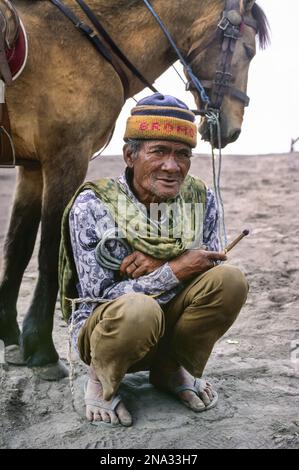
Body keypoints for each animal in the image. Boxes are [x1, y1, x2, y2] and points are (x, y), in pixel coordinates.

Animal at [0, 0, 270, 378]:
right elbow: (48, 250)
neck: (78, 41)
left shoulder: (33, 168)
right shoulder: (66, 157)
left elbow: (18, 248)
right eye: (247, 50)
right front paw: (40, 349)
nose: (232, 130)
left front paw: (11, 337)